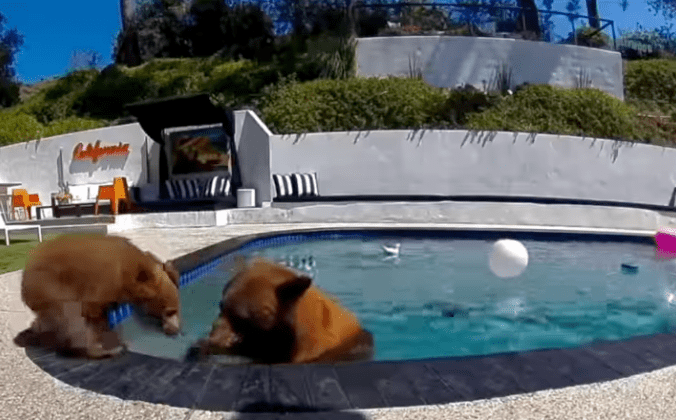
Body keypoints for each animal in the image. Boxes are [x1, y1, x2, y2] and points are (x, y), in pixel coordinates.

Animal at [13, 233, 181, 359]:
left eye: (177, 310)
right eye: (170, 311)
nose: (175, 330)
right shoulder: (102, 282)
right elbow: (92, 314)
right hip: (50, 286)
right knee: (71, 318)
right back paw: (108, 350)